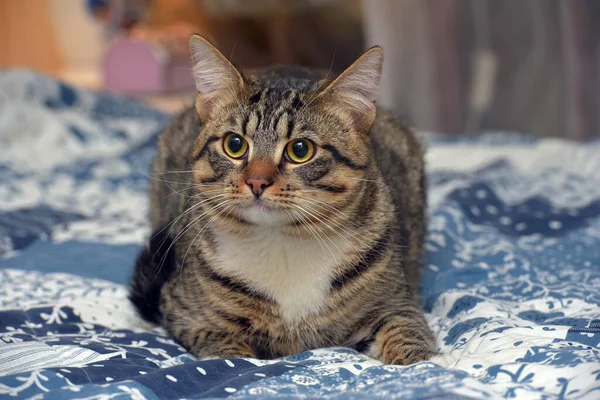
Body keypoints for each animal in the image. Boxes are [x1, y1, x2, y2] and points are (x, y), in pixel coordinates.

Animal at [129, 35, 436, 366]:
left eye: (300, 149)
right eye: (234, 144)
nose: (257, 181)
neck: (281, 245)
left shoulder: (395, 303)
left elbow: (407, 333)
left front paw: (420, 366)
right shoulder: (186, 313)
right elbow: (228, 352)